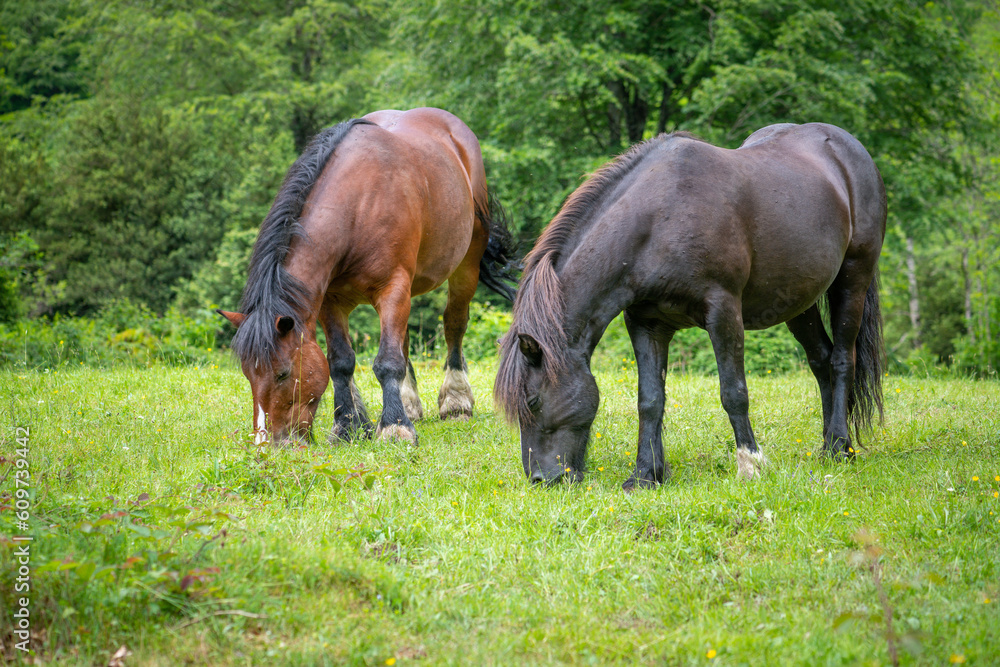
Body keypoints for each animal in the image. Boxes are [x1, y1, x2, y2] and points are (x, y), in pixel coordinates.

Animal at [219, 107, 517, 446]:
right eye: (248, 374)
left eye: (282, 373)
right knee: (405, 338)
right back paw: (409, 404)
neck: (358, 208)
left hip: (465, 266)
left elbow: (387, 361)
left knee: (454, 324)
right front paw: (348, 425)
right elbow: (341, 362)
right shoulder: (330, 302)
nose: (275, 443)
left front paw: (395, 427)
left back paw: (456, 401)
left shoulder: (393, 288)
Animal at [494, 122, 886, 490]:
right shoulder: (646, 323)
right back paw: (826, 445)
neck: (658, 219)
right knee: (820, 360)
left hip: (853, 278)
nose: (541, 478)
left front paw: (751, 465)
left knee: (841, 360)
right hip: (798, 301)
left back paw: (840, 448)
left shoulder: (723, 313)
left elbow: (734, 393)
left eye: (533, 401)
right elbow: (650, 399)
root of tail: (847, 147)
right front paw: (646, 475)